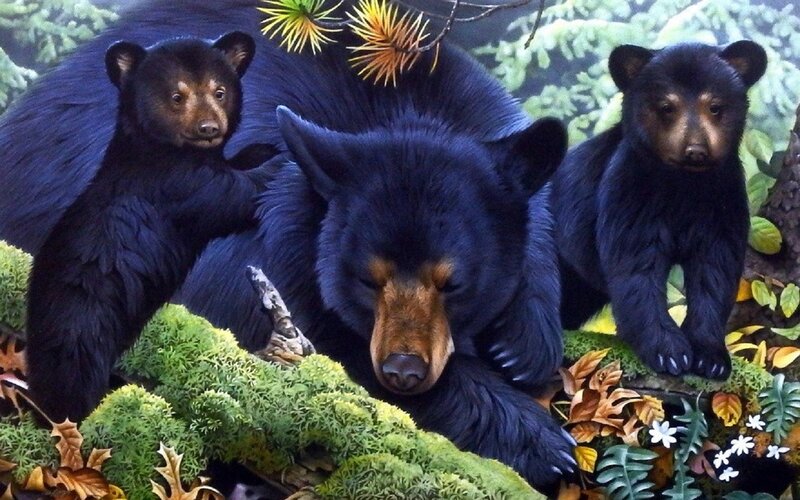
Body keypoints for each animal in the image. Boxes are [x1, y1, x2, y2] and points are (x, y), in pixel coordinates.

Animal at [26, 31, 261, 422]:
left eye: (220, 90)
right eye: (177, 96)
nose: (209, 128)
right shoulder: (175, 182)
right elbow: (233, 195)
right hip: (83, 319)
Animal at [551, 41, 767, 380]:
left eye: (714, 106)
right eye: (667, 107)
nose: (695, 151)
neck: (683, 185)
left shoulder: (723, 198)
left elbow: (714, 270)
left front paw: (711, 358)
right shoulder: (631, 191)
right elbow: (637, 269)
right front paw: (670, 353)